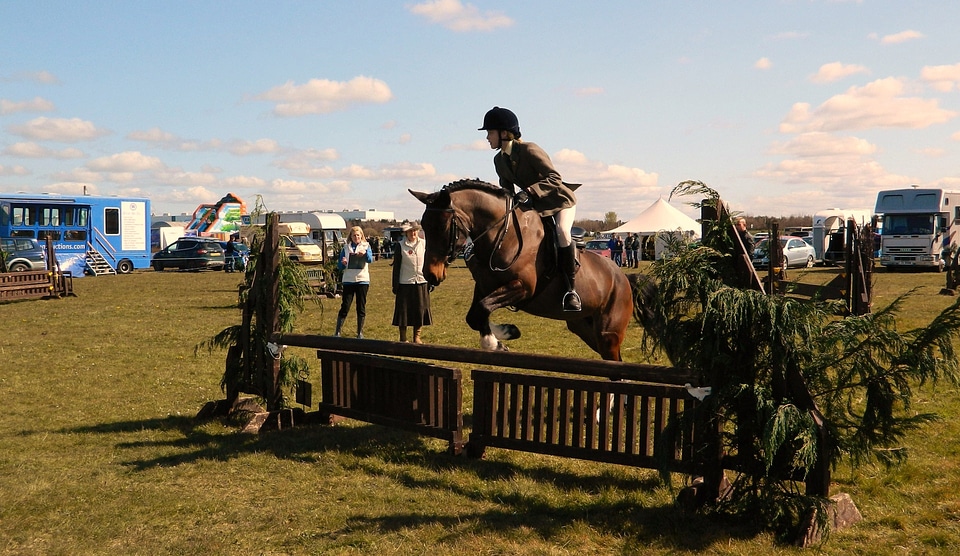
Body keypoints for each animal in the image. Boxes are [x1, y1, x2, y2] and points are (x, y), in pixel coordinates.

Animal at [406, 179, 636, 360]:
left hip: (608, 333)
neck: (503, 235)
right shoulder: (485, 286)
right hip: (583, 326)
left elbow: (482, 309)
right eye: (424, 226)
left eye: (443, 228)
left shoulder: (522, 288)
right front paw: (506, 334)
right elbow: (475, 315)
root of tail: (622, 277)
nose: (430, 274)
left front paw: (498, 340)